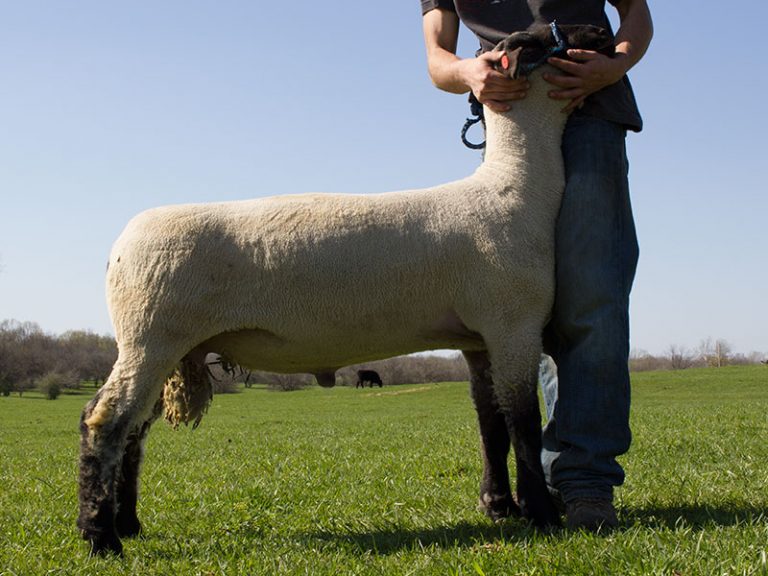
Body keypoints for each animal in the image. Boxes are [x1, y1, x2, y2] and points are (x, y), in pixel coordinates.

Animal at [78, 21, 616, 552]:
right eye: (540, 39)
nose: (600, 33)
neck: (515, 188)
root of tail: (119, 246)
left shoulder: (478, 338)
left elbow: (492, 426)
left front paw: (499, 506)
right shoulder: (513, 324)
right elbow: (523, 424)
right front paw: (541, 515)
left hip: (161, 343)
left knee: (133, 433)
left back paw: (128, 523)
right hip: (151, 335)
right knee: (104, 422)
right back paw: (101, 537)